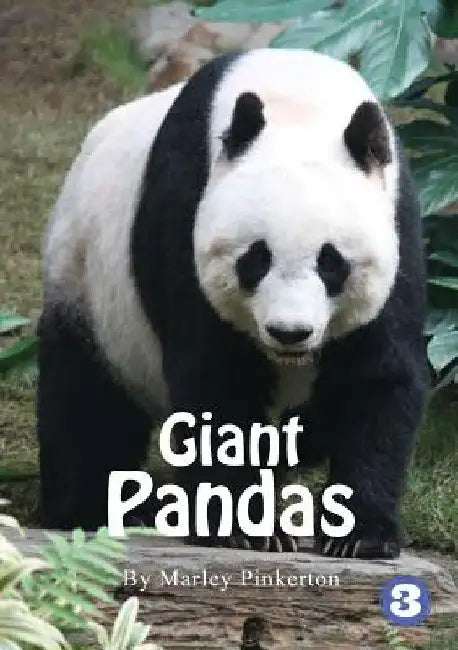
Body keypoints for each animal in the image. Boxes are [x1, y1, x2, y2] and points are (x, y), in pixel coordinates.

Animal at [38, 48, 425, 558]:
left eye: (332, 263)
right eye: (256, 259)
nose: (289, 332)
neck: (299, 104)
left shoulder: (398, 222)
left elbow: (376, 378)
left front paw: (359, 534)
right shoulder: (184, 208)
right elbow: (216, 379)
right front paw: (244, 528)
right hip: (88, 282)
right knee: (87, 399)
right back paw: (100, 507)